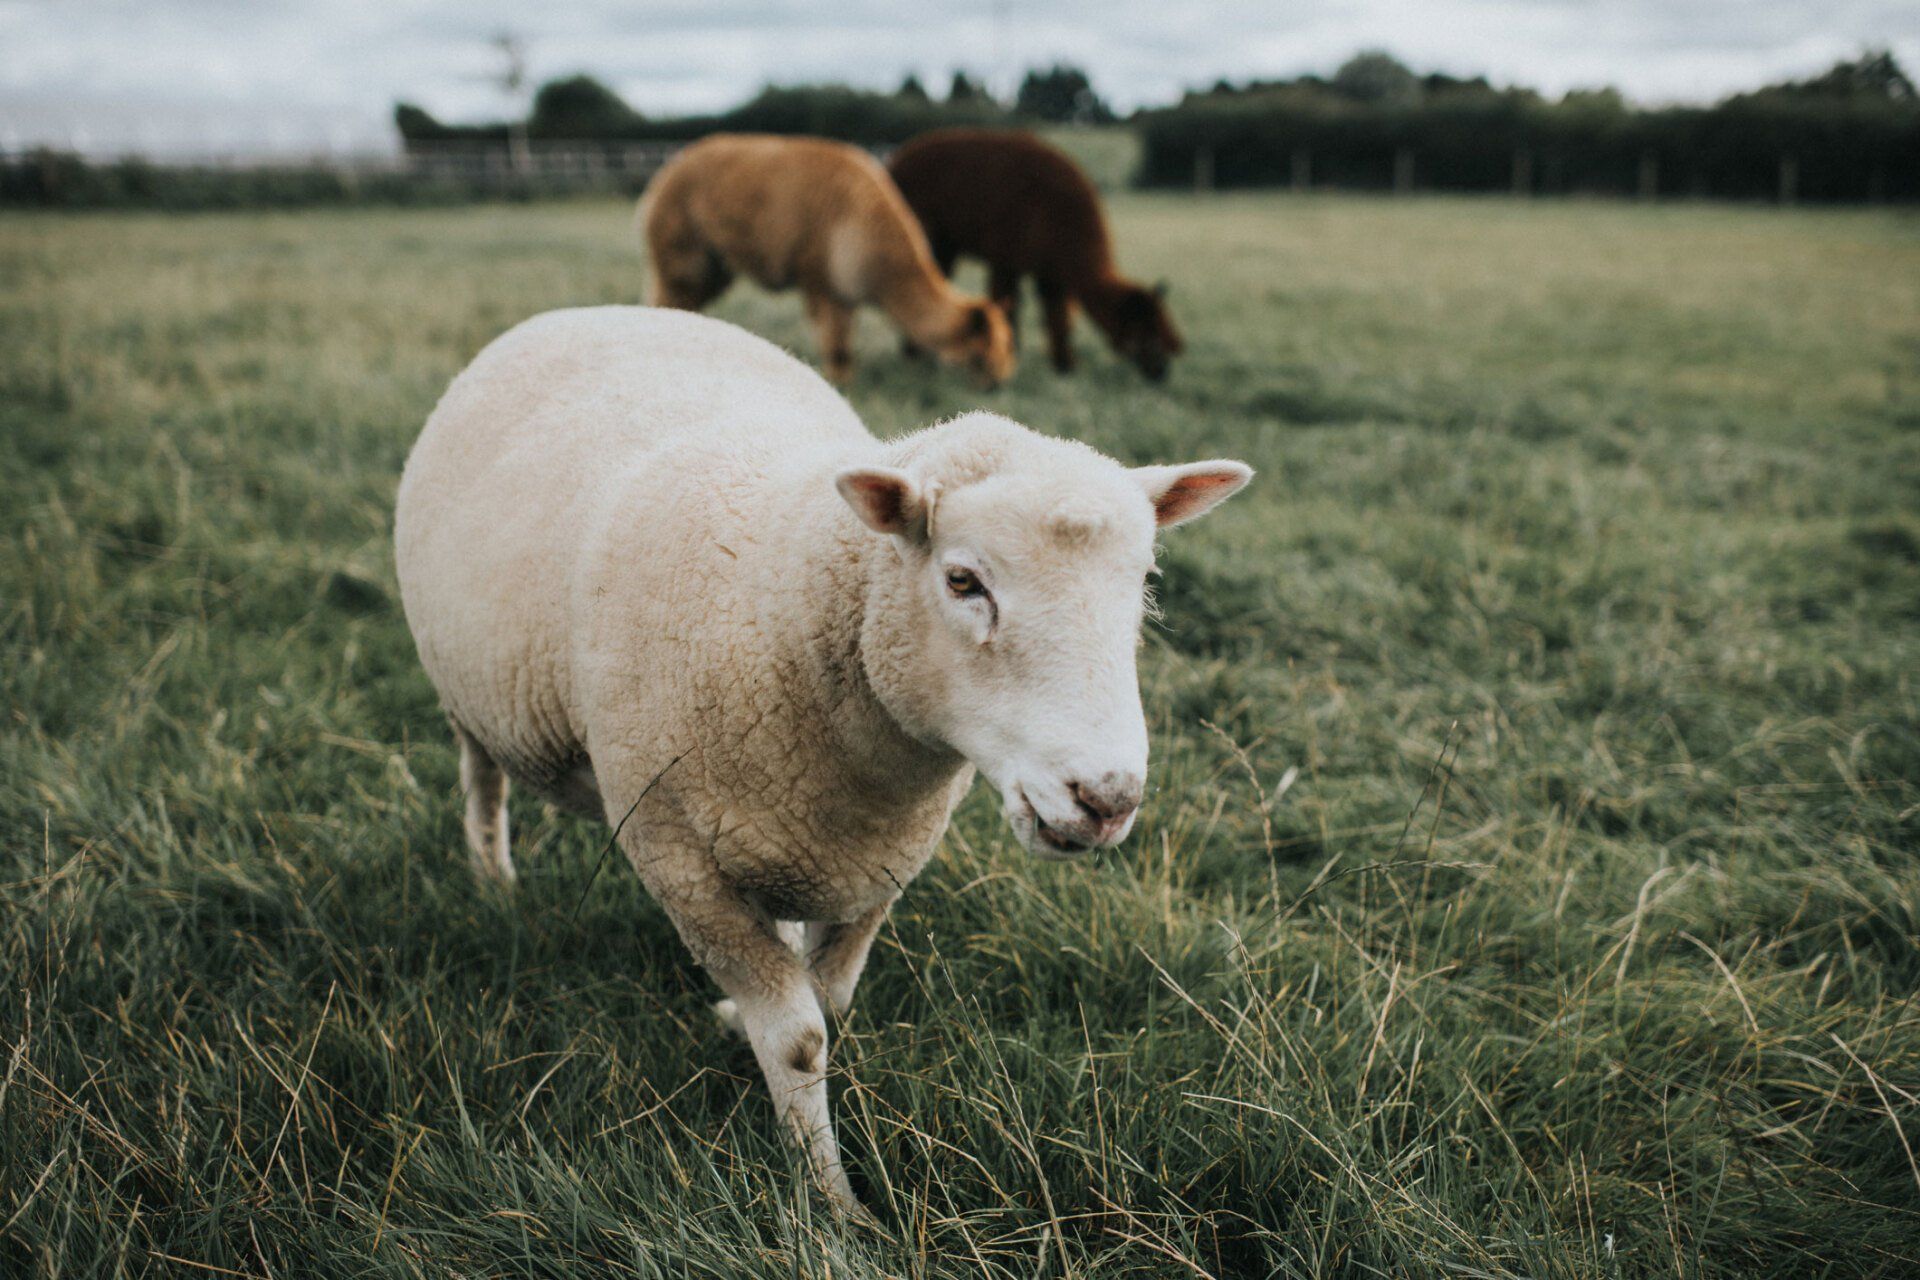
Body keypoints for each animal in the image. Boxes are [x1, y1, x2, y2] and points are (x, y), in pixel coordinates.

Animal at [392, 305, 1250, 1218]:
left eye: (1146, 580)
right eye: (963, 580)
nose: (1106, 798)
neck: (775, 600)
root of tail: (600, 309)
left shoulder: (880, 862)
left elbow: (829, 1001)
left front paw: (752, 1037)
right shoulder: (679, 861)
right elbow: (801, 1040)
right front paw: (832, 1205)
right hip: (471, 695)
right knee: (481, 779)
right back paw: (493, 880)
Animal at [638, 133, 1016, 388]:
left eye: (1006, 345)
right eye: (983, 353)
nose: (999, 383)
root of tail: (666, 170)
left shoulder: (843, 288)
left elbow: (843, 344)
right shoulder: (822, 280)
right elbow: (836, 346)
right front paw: (840, 388)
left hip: (713, 266)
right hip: (683, 251)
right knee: (669, 296)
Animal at [888, 128, 1185, 381]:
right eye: (1147, 336)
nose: (1161, 373)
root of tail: (896, 161)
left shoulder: (1049, 269)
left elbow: (1057, 316)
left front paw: (1065, 366)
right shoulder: (1008, 256)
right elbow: (1010, 306)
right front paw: (1010, 356)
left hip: (946, 243)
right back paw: (915, 354)